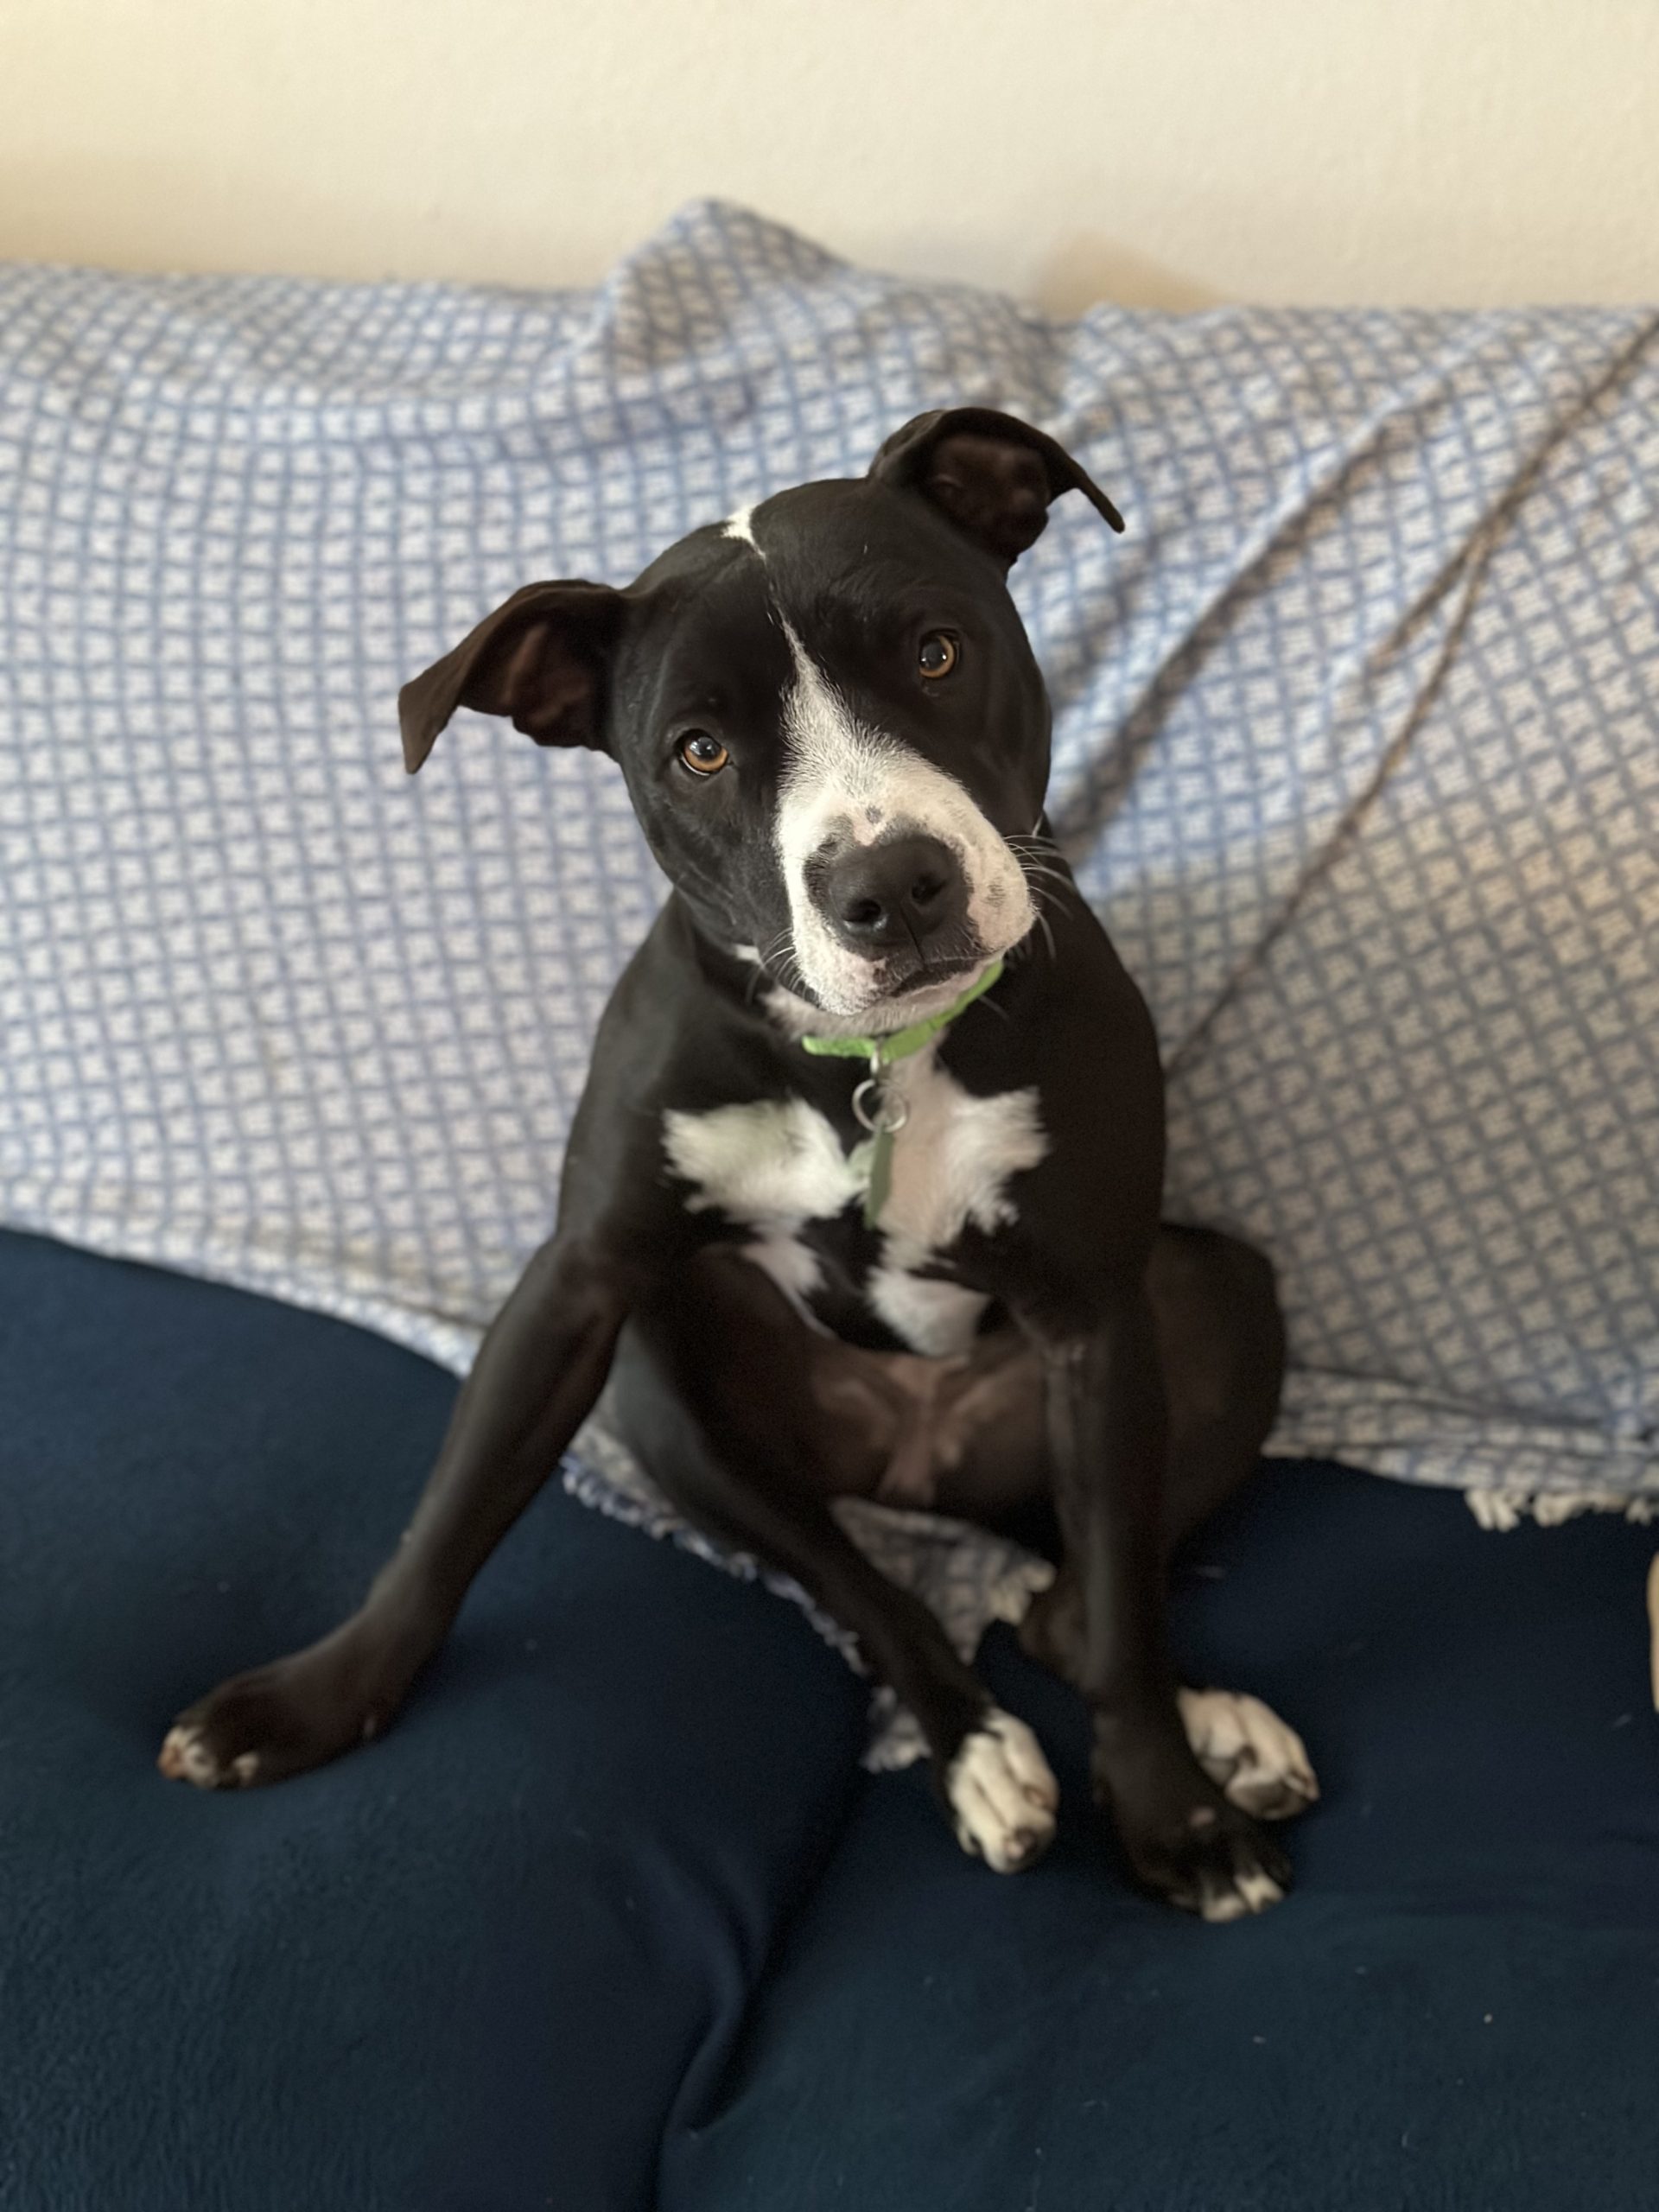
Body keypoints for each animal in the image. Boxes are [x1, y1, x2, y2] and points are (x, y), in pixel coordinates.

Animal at [162, 411, 1318, 1920]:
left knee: (1077, 1596)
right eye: (700, 752)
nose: (889, 886)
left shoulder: (1095, 1323)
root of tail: (914, 1459)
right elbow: (448, 1520)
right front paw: (311, 1702)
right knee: (861, 1581)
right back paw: (979, 1748)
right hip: (669, 1388)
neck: (867, 1062)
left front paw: (1174, 1812)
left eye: (936, 652)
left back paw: (1212, 1727)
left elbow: (1127, 1603)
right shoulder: (577, 1289)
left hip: (1217, 1306)